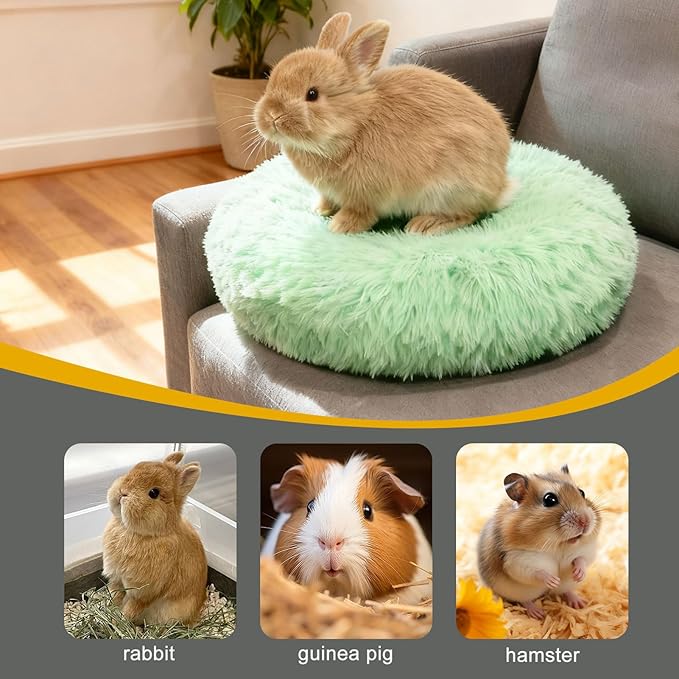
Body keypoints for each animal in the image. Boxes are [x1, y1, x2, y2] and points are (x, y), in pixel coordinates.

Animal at [102, 452, 207, 626]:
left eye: (154, 493)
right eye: (132, 469)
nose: (122, 491)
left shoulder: (142, 593)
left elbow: (132, 608)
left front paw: (121, 620)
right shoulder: (116, 579)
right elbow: (115, 595)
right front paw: (110, 610)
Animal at [254, 12, 513, 236]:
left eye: (312, 94)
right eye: (271, 80)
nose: (271, 116)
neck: (354, 126)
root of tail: (500, 187)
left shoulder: (367, 195)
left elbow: (361, 212)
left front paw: (341, 225)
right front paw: (321, 209)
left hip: (448, 189)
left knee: (469, 214)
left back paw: (424, 225)